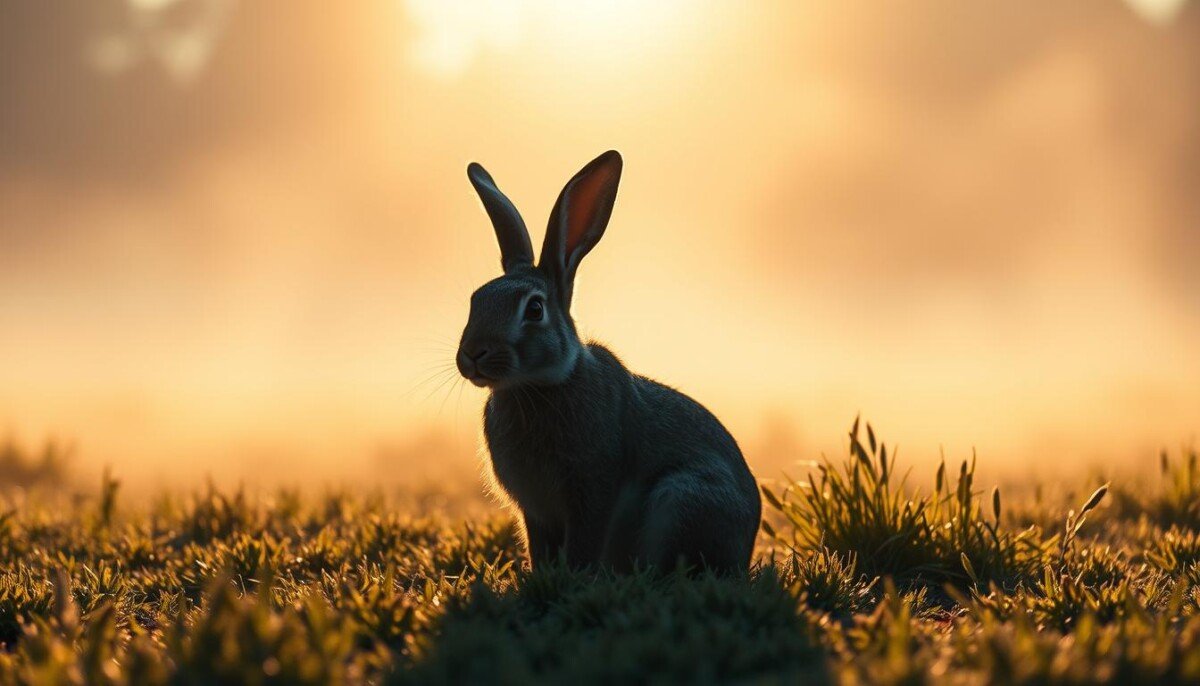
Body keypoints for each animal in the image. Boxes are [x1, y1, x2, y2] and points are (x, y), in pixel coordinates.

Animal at [456, 150, 761, 574]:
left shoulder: (591, 489)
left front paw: (572, 577)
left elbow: (585, 540)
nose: (473, 354)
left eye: (534, 309)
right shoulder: (535, 511)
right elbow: (540, 546)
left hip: (681, 498)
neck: (537, 386)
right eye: (476, 299)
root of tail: (746, 545)